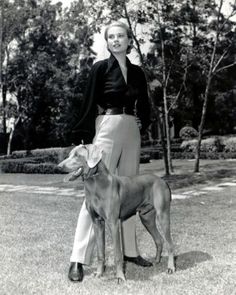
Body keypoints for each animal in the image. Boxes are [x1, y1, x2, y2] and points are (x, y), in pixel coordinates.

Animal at [59, 145, 175, 284]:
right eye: (69, 154)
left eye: (77, 155)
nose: (59, 166)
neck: (95, 182)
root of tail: (162, 180)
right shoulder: (97, 222)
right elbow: (100, 252)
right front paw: (99, 273)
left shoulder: (113, 223)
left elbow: (118, 254)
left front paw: (120, 276)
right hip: (147, 218)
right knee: (159, 240)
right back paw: (157, 261)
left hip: (163, 215)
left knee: (170, 243)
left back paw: (171, 268)